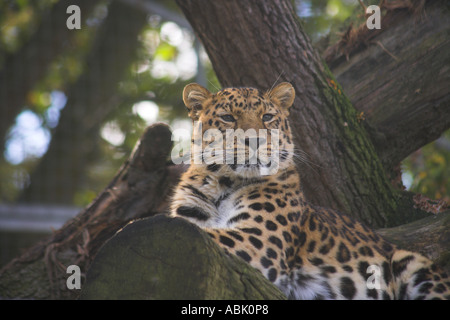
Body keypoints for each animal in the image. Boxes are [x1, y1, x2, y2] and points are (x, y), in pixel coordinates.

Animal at [170, 81, 450, 298]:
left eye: (267, 117)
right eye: (228, 118)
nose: (255, 140)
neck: (222, 184)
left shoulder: (257, 240)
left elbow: (204, 232)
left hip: (409, 261)